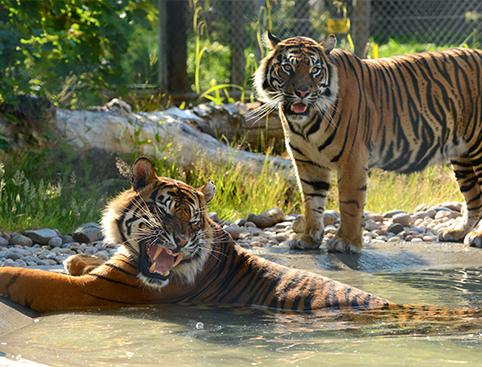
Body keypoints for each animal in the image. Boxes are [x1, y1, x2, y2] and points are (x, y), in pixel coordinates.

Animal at [0, 157, 478, 320]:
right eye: (167, 212)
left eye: (194, 222)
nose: (179, 244)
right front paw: (75, 256)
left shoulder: (94, 291)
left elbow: (25, 275)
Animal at [254, 33, 482, 254]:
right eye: (287, 67)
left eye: (315, 70)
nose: (302, 92)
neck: (305, 124)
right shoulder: (307, 162)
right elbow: (312, 201)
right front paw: (308, 238)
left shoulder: (352, 159)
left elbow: (349, 202)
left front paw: (345, 242)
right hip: (462, 156)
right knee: (474, 197)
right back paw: (457, 232)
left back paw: (477, 236)